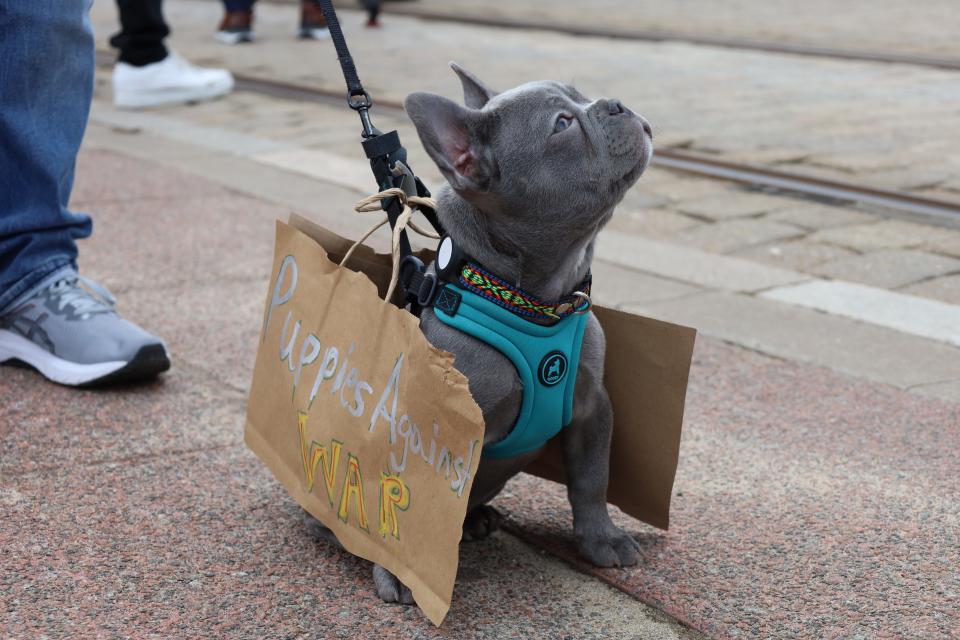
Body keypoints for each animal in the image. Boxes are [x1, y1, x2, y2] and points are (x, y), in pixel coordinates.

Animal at [308, 63, 652, 604]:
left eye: (582, 97)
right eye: (562, 125)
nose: (615, 103)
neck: (534, 303)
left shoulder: (592, 408)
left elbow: (591, 480)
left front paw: (601, 540)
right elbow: (404, 496)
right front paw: (399, 570)